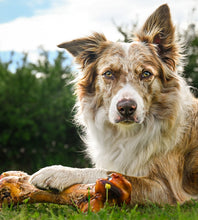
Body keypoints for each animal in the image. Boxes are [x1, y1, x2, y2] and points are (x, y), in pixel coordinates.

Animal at [29, 4, 198, 205]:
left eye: (146, 74)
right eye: (108, 73)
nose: (126, 108)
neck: (128, 133)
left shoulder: (166, 190)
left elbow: (110, 173)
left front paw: (57, 172)